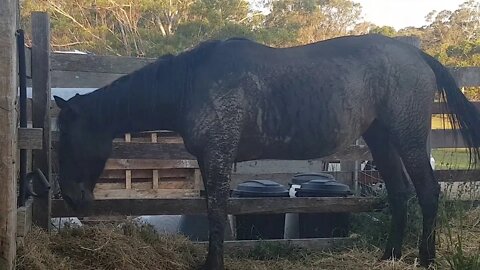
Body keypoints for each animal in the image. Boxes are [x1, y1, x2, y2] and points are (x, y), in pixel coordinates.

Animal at [53, 34, 480, 268]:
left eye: (67, 139)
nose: (72, 198)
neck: (189, 83)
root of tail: (417, 57)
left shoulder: (217, 156)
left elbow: (216, 212)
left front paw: (213, 264)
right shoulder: (212, 159)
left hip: (408, 137)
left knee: (428, 192)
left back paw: (425, 258)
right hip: (382, 140)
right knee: (400, 193)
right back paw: (389, 256)